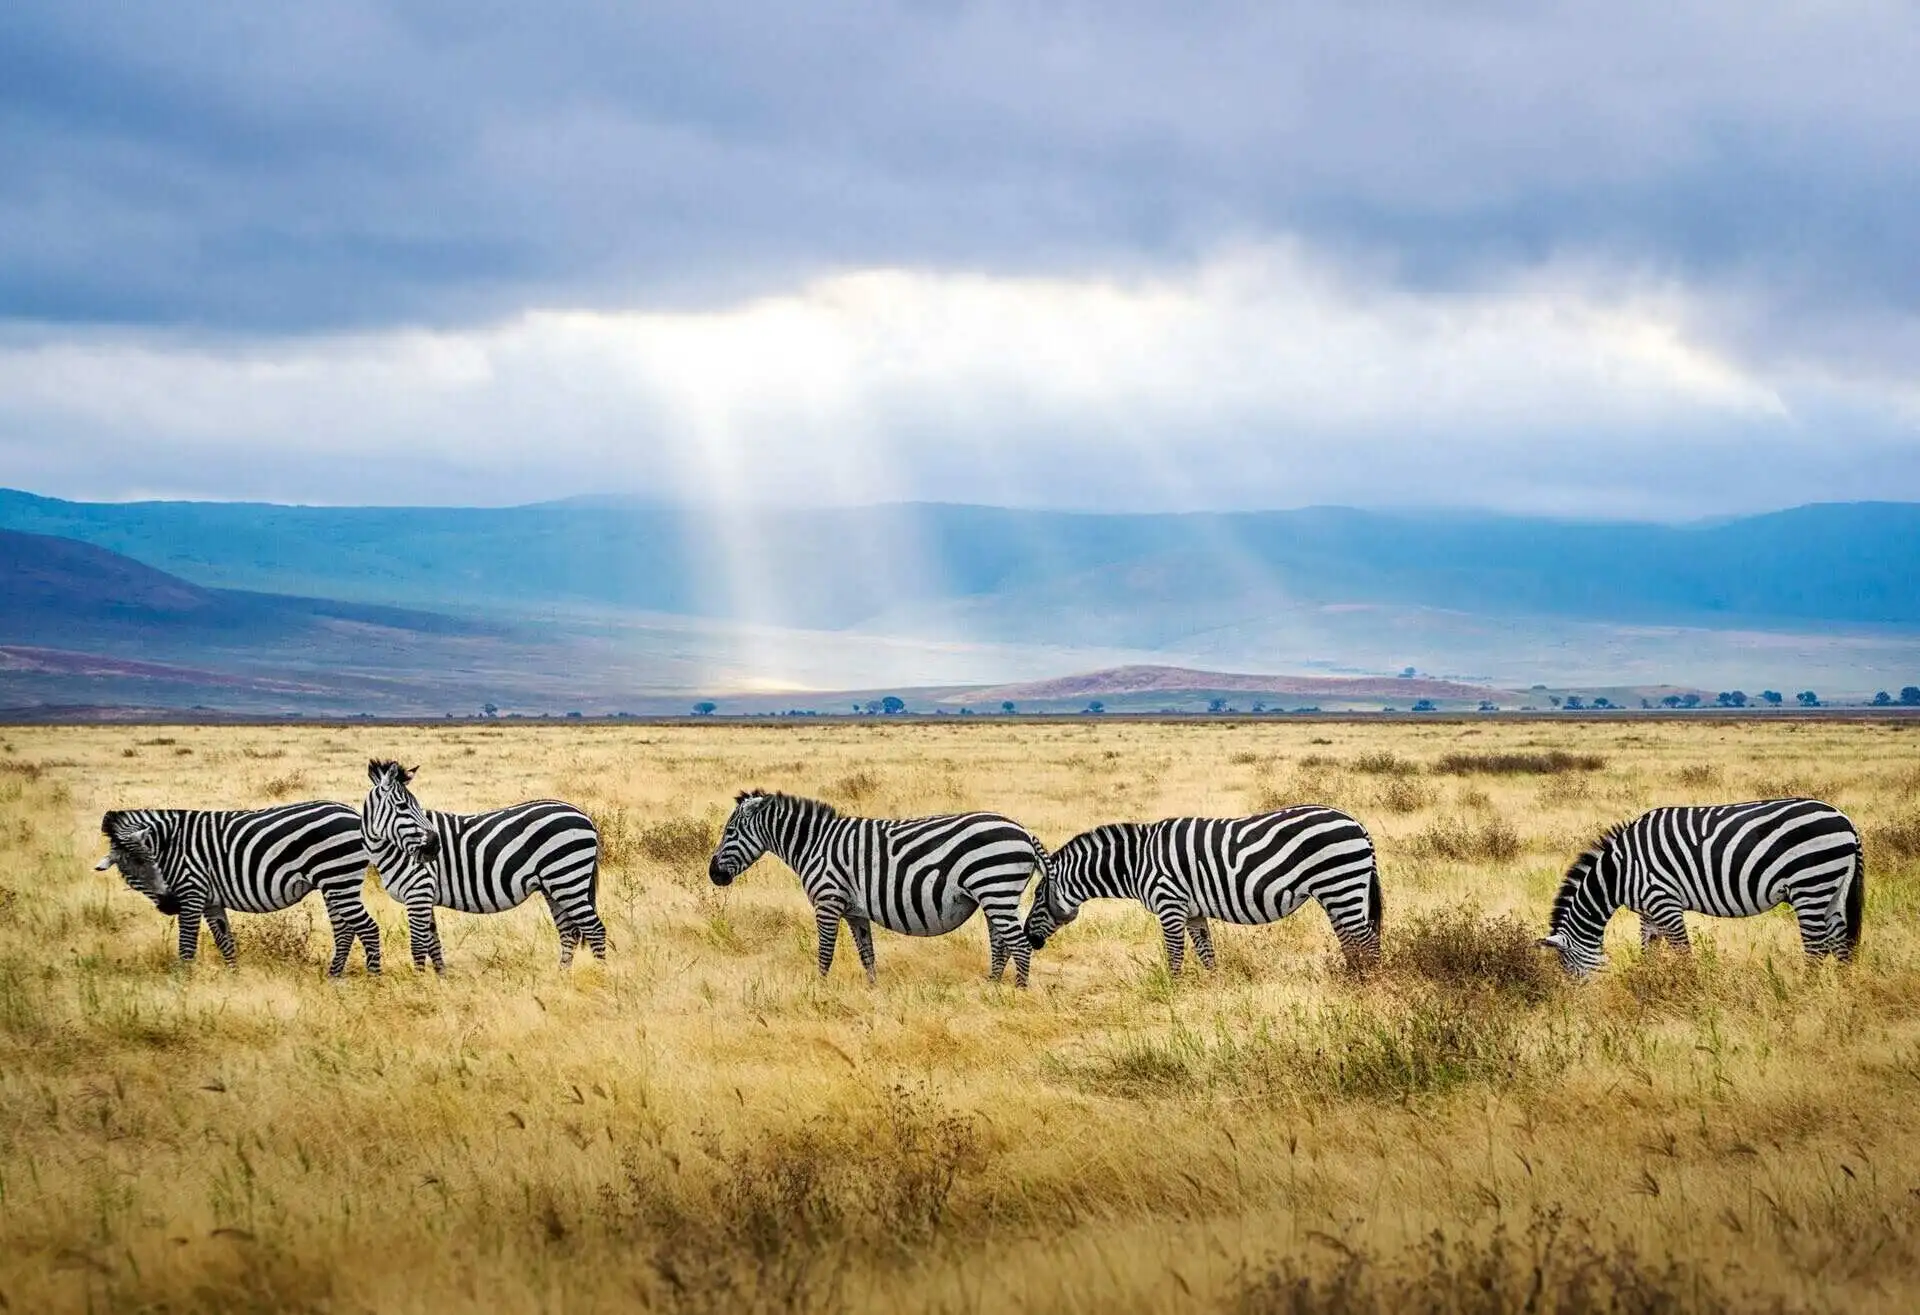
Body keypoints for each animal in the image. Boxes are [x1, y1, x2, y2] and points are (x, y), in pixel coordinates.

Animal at [95, 798, 380, 975]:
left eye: (152, 861)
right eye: (129, 871)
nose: (169, 904)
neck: (170, 845)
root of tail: (354, 813)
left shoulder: (191, 892)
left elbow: (187, 947)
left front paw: (183, 986)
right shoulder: (210, 901)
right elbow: (225, 942)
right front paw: (234, 978)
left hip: (339, 879)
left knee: (368, 928)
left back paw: (373, 980)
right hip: (334, 884)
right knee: (344, 930)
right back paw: (334, 977)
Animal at [357, 760, 602, 963]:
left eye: (416, 805)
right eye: (402, 807)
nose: (434, 846)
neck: (392, 850)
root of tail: (584, 816)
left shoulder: (419, 891)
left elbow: (418, 947)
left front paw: (421, 984)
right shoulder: (425, 896)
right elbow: (433, 946)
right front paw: (440, 981)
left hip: (567, 878)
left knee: (595, 930)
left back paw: (599, 974)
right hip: (554, 886)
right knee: (569, 932)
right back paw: (562, 977)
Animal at [706, 790, 1052, 982]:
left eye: (730, 831)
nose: (713, 875)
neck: (815, 844)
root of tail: (1023, 831)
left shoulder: (828, 901)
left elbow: (825, 952)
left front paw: (819, 990)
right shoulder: (855, 911)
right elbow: (867, 954)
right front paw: (872, 992)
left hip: (995, 888)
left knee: (1019, 945)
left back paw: (1017, 995)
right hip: (995, 895)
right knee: (1001, 944)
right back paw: (991, 988)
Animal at [1021, 798, 1382, 975]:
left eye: (1037, 895)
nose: (1029, 938)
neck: (1136, 863)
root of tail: (1356, 823)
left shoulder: (1170, 905)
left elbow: (1175, 954)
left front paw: (1173, 991)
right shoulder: (1193, 912)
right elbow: (1207, 953)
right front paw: (1213, 989)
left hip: (1340, 884)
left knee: (1366, 940)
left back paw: (1372, 985)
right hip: (1339, 891)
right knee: (1352, 939)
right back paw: (1353, 980)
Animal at [1536, 790, 1866, 975]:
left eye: (1568, 968)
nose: (1579, 1002)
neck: (1619, 872)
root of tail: (1846, 820)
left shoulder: (1663, 900)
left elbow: (1683, 953)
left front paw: (1690, 991)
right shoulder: (1647, 910)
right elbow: (1649, 950)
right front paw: (1647, 985)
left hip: (1810, 885)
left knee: (1817, 948)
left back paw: (1803, 996)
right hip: (1834, 888)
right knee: (1841, 944)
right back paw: (1843, 996)